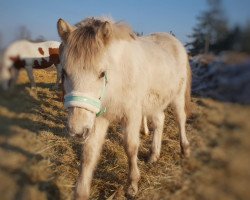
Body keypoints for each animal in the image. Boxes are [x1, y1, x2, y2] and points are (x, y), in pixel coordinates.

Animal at [57, 16, 192, 198]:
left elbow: (131, 146)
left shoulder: (132, 114)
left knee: (180, 119)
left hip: (177, 96)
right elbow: (89, 153)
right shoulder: (97, 118)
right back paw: (154, 155)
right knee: (160, 121)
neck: (118, 77)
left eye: (102, 73)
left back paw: (185, 150)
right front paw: (81, 192)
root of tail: (175, 42)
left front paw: (133, 184)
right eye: (64, 72)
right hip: (155, 102)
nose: (77, 131)